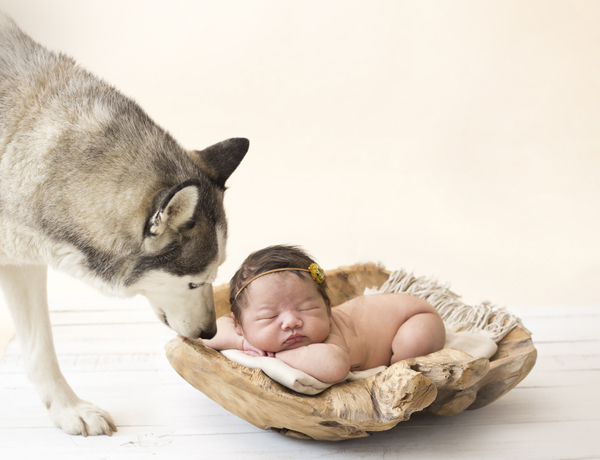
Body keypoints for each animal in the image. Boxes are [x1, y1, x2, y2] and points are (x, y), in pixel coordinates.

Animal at [0, 11, 248, 434]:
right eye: (193, 282)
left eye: (215, 276)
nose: (210, 333)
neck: (15, 138)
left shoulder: (23, 262)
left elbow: (40, 347)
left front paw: (67, 409)